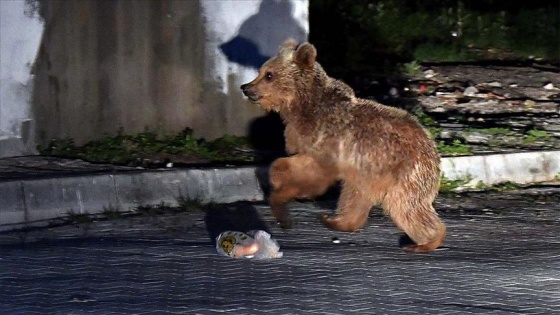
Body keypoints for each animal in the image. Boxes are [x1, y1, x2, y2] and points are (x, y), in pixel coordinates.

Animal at [241, 39, 446, 253]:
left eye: (269, 74)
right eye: (261, 71)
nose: (246, 87)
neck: (301, 108)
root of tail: (433, 148)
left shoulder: (327, 141)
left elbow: (312, 172)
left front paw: (282, 191)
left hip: (406, 172)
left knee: (405, 206)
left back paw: (428, 241)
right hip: (368, 173)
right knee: (356, 196)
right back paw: (335, 221)